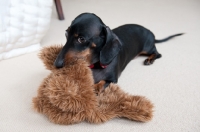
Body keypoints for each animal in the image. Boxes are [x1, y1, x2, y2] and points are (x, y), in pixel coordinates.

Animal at [54, 12, 182, 87]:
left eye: (81, 39)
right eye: (66, 34)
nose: (56, 64)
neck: (95, 65)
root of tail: (151, 33)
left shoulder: (112, 80)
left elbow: (102, 83)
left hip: (147, 48)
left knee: (158, 54)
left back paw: (150, 59)